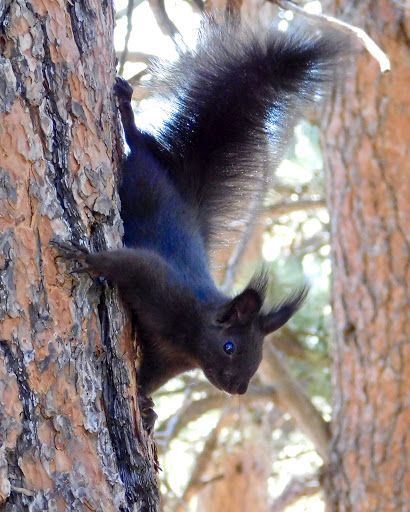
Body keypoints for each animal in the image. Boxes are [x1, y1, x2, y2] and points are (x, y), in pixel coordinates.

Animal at [53, 17, 350, 428]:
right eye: (229, 346)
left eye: (257, 356)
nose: (238, 389)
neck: (190, 336)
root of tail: (185, 192)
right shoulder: (160, 282)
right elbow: (127, 263)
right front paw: (83, 257)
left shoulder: (166, 361)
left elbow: (148, 378)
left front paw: (145, 406)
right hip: (145, 165)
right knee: (140, 142)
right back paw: (126, 109)